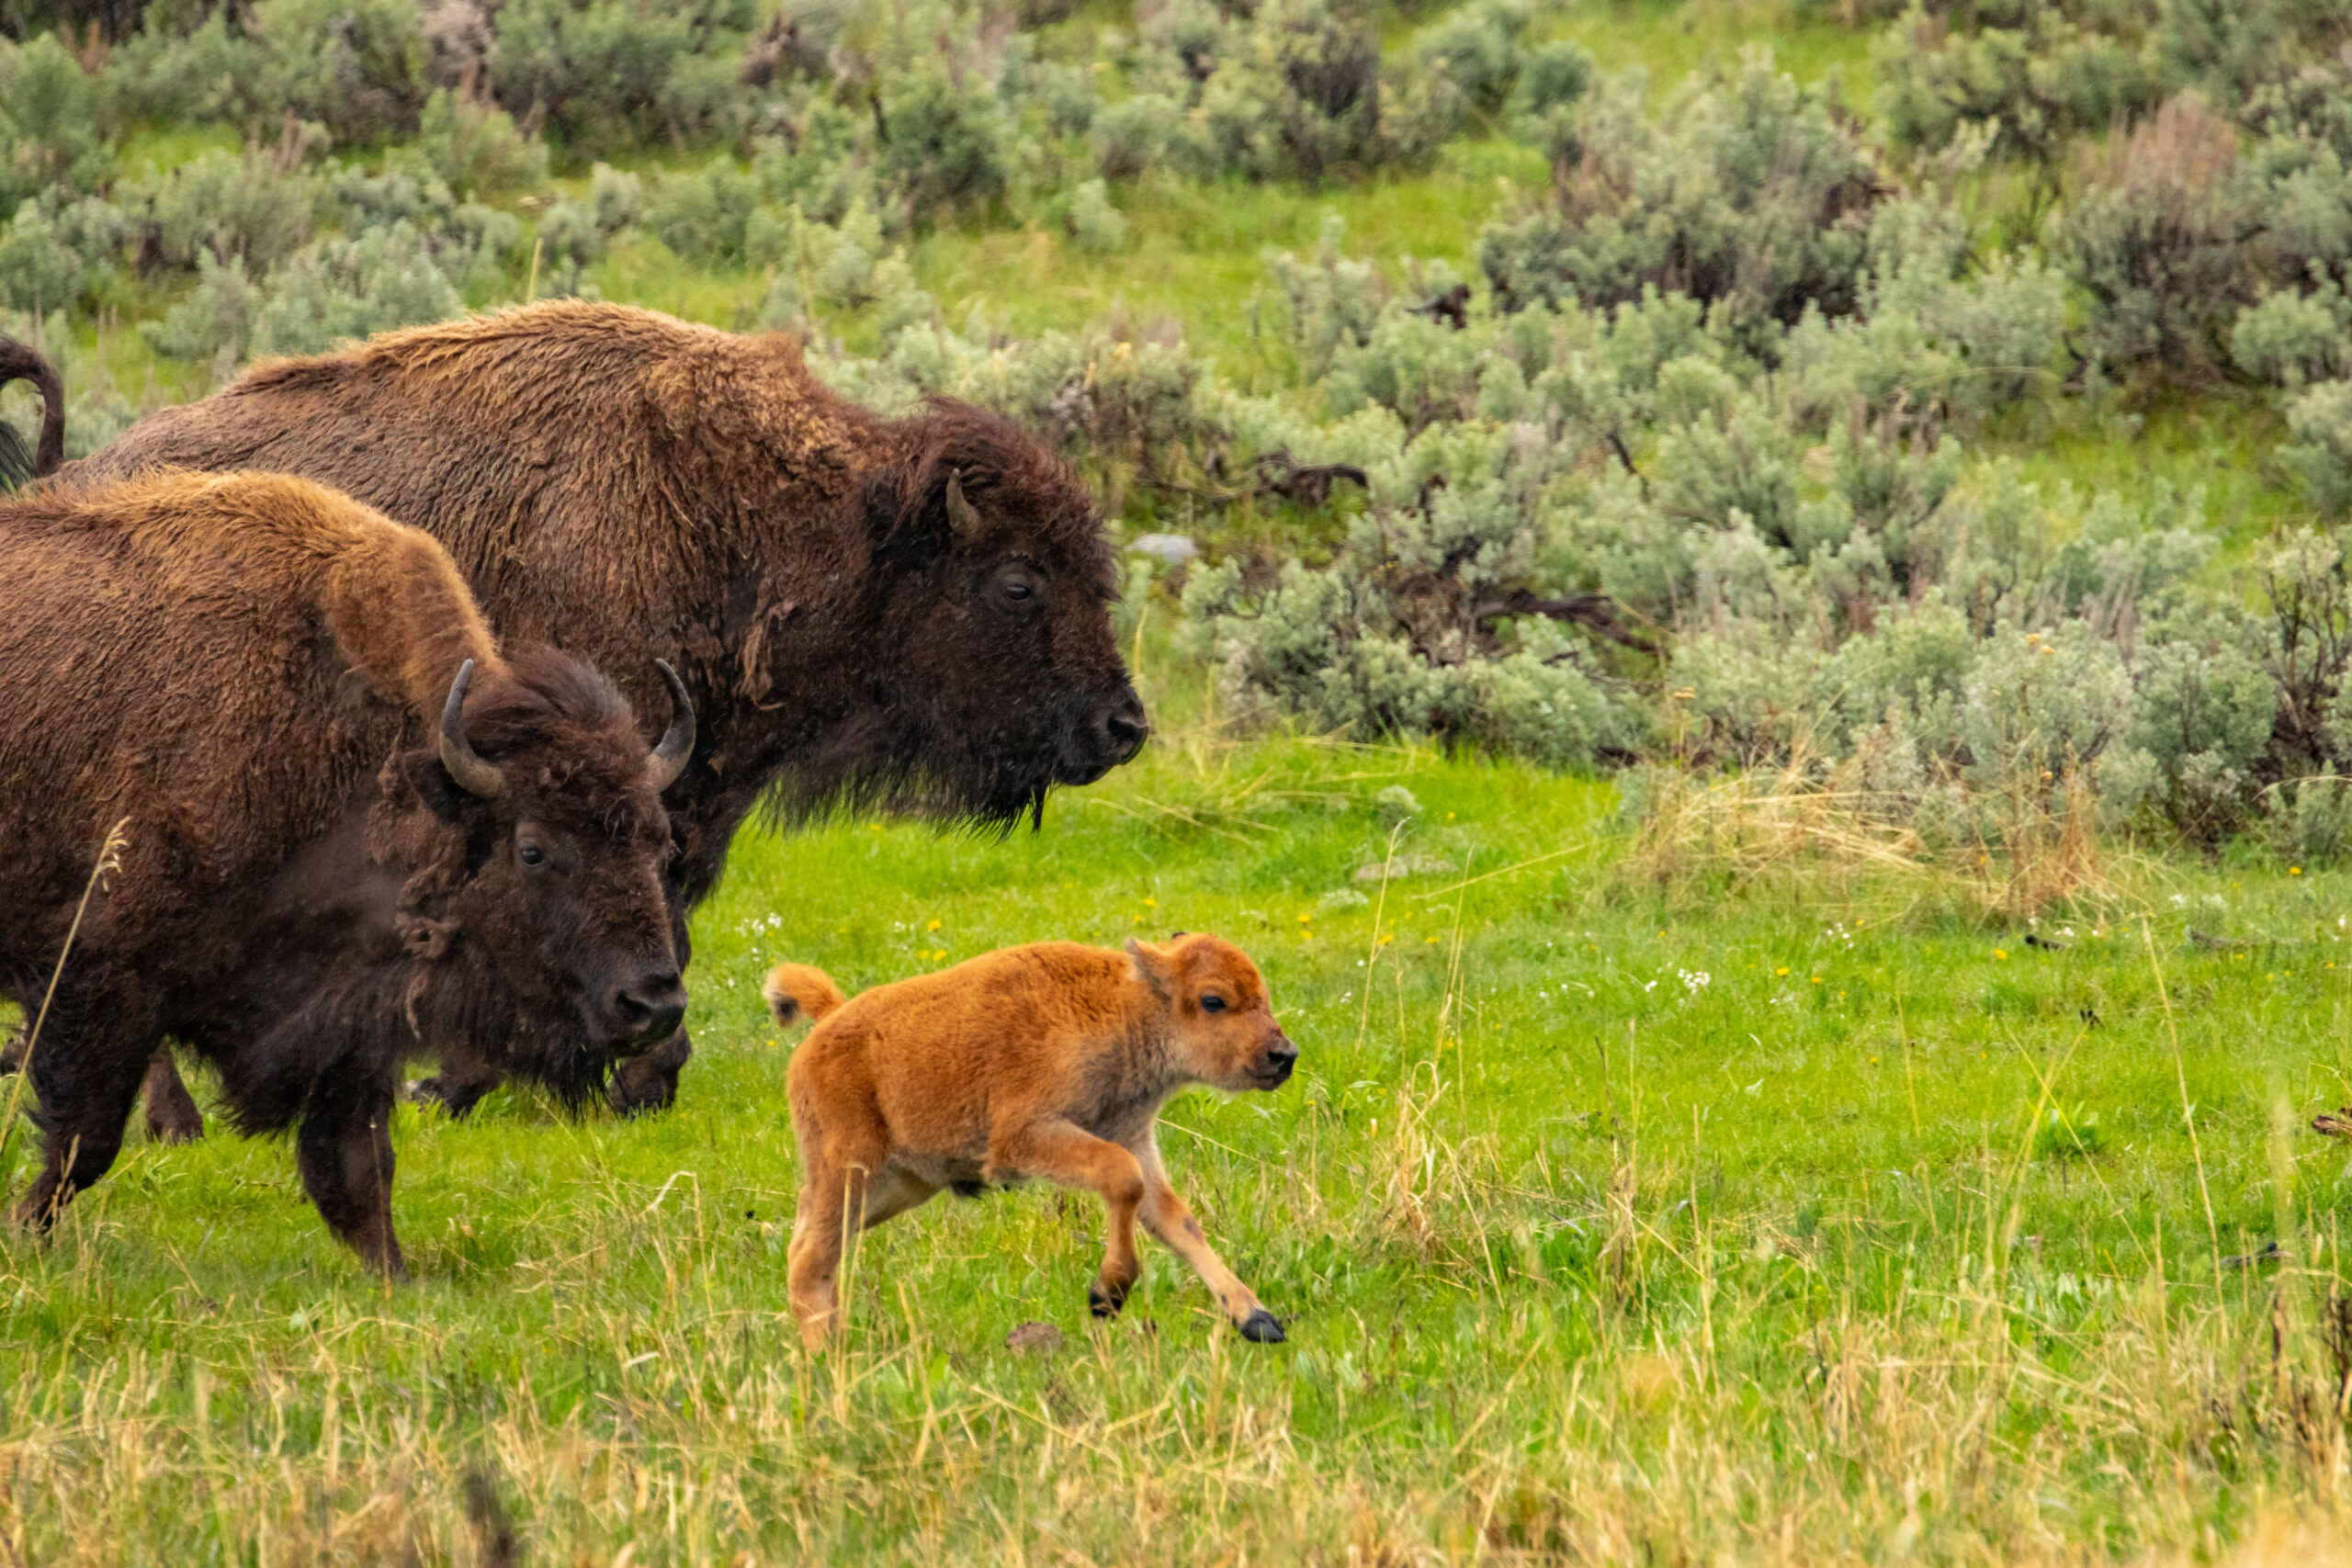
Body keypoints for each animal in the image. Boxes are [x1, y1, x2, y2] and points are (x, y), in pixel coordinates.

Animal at [0, 471, 692, 1275]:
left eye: (659, 843)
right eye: (533, 848)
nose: (653, 1004)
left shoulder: (349, 1013)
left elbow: (359, 1169)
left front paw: (396, 1276)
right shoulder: (99, 979)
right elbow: (86, 1141)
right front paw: (23, 1229)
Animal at [7, 301, 1145, 1127]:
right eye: (1017, 582)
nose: (1124, 727)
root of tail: (68, 477)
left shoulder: (674, 799)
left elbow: (661, 919)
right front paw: (505, 1083)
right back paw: (170, 1121)